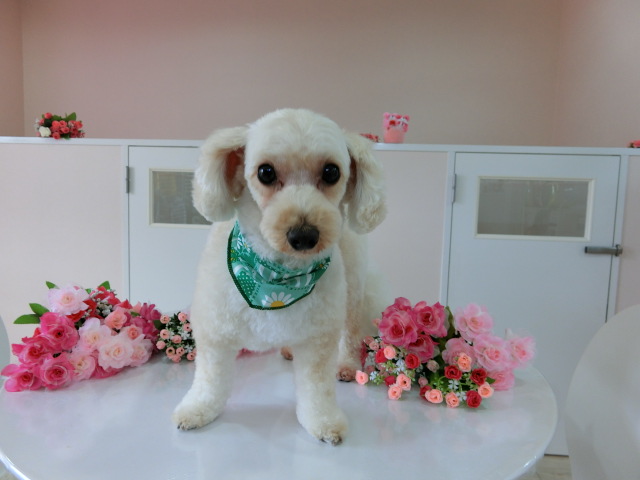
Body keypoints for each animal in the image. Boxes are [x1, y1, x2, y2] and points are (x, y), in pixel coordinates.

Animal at [172, 108, 386, 445]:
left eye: (331, 172)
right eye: (265, 172)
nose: (304, 235)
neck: (276, 278)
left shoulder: (318, 339)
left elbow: (317, 389)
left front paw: (323, 421)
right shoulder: (215, 330)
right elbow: (210, 379)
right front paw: (197, 410)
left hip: (353, 289)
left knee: (351, 333)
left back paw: (346, 364)